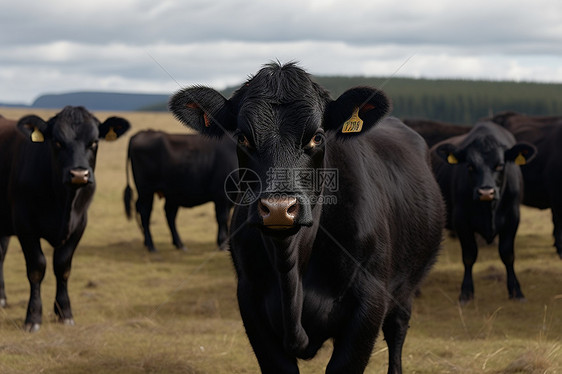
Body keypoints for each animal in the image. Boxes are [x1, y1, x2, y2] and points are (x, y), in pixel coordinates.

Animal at [0, 106, 128, 332]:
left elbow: (62, 266)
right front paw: (33, 316)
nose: (79, 174)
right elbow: (37, 267)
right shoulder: (24, 224)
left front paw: (64, 312)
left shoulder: (79, 224)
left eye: (94, 142)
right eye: (57, 142)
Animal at [168, 62, 444, 374]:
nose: (279, 208)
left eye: (317, 137)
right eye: (242, 137)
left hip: (407, 286)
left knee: (397, 330)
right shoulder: (250, 303)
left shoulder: (369, 304)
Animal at [428, 122, 532, 304]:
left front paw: (516, 291)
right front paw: (466, 292)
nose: (485, 192)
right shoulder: (461, 221)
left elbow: (507, 254)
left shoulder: (513, 218)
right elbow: (469, 255)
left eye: (500, 165)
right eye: (470, 166)